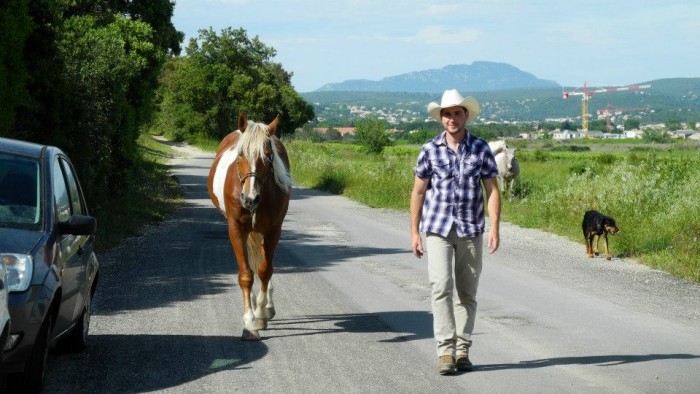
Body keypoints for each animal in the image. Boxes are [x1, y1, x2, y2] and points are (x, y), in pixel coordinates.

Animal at [205, 113, 292, 338]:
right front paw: (249, 322)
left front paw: (260, 313)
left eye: (268, 155)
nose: (250, 199)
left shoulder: (273, 230)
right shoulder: (236, 230)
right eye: (241, 154)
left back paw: (266, 305)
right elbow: (246, 274)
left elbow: (264, 270)